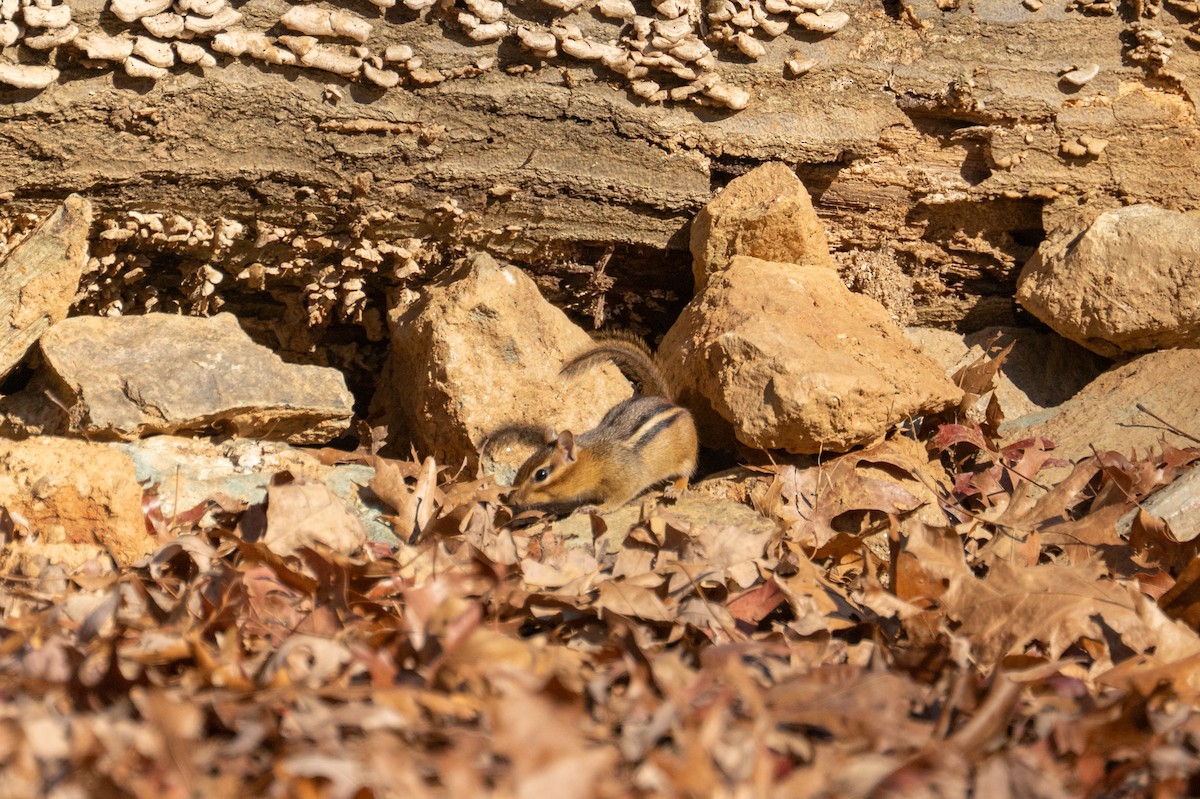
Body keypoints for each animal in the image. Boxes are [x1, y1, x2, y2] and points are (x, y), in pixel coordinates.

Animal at [506, 333, 699, 514]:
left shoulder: (628, 480)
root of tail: (667, 401)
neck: (595, 458)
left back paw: (677, 488)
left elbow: (618, 500)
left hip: (687, 453)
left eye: (541, 474)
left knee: (686, 473)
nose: (511, 500)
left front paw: (598, 508)